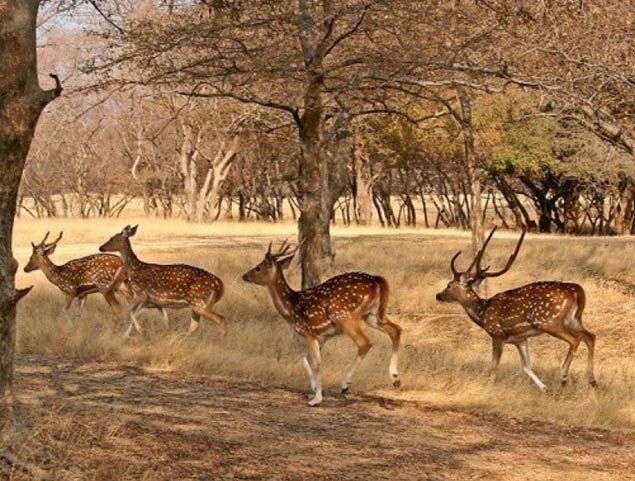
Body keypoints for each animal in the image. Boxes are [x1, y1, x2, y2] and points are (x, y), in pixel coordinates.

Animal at [98, 224, 227, 334]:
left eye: (112, 238)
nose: (100, 247)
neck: (134, 269)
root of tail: (220, 285)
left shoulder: (142, 294)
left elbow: (130, 312)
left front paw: (140, 330)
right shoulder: (156, 301)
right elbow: (165, 319)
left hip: (198, 302)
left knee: (220, 318)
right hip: (197, 305)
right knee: (194, 326)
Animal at [241, 240, 400, 404]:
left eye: (258, 267)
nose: (244, 275)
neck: (291, 309)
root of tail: (377, 280)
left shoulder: (307, 332)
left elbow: (316, 363)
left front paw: (316, 399)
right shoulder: (321, 337)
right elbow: (306, 358)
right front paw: (313, 388)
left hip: (346, 317)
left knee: (365, 343)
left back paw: (345, 384)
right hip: (372, 315)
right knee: (396, 329)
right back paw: (395, 379)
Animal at [434, 228, 600, 390]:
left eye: (449, 285)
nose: (438, 295)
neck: (482, 313)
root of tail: (577, 290)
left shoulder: (497, 334)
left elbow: (494, 366)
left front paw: (488, 386)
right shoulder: (520, 339)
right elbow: (526, 366)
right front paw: (545, 388)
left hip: (550, 321)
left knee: (575, 339)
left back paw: (564, 376)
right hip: (574, 318)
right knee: (590, 336)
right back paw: (592, 380)